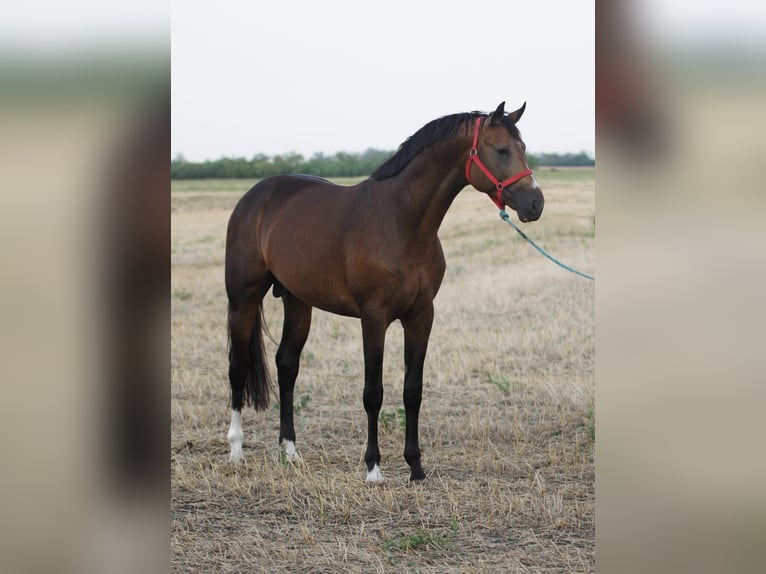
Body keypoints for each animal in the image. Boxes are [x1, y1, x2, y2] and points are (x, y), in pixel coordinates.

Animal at [225, 101, 544, 484]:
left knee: (287, 365)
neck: (400, 220)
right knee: (238, 367)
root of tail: (256, 196)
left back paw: (291, 452)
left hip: (298, 303)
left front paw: (416, 467)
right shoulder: (373, 318)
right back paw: (236, 450)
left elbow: (412, 391)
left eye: (522, 148)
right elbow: (373, 393)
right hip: (242, 300)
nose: (535, 203)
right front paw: (373, 467)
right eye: (501, 150)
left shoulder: (421, 316)